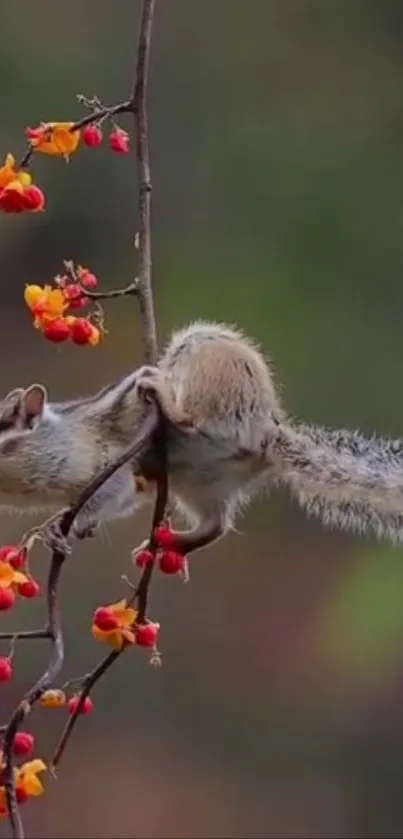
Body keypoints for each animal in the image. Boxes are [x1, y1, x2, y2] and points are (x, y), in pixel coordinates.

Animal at [1, 320, 403, 555]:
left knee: (192, 421)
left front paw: (63, 526)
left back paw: (165, 398)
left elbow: (110, 493)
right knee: (216, 525)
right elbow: (123, 500)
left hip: (204, 360)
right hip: (197, 485)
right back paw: (169, 545)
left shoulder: (106, 466)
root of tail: (267, 432)